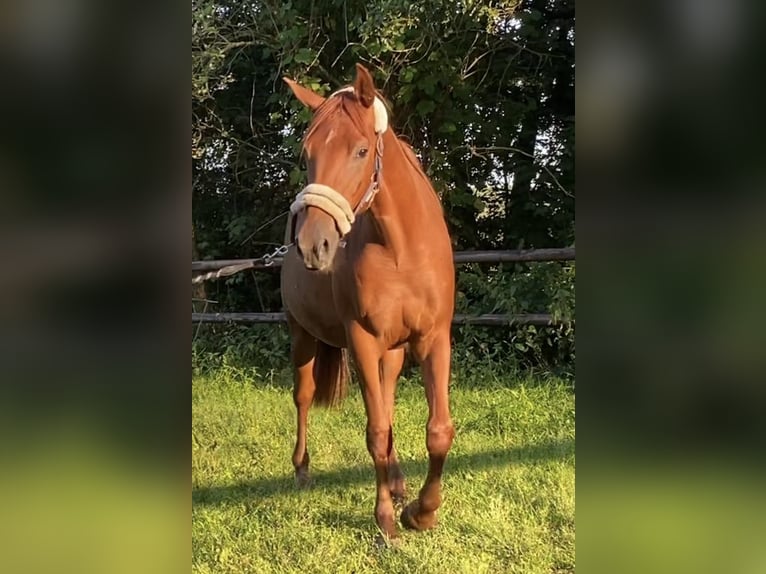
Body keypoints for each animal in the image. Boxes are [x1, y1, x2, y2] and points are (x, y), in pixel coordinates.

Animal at [280, 64, 456, 540]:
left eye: (361, 150)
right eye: (307, 154)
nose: (313, 245)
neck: (401, 251)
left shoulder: (434, 338)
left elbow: (438, 430)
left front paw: (422, 512)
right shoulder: (361, 339)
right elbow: (375, 431)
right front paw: (387, 522)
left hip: (392, 351)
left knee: (388, 396)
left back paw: (397, 482)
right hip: (302, 335)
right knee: (303, 396)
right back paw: (302, 470)